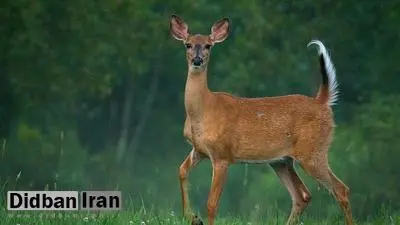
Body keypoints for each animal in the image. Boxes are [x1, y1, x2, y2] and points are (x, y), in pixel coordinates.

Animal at [169, 14, 354, 225]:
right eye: (188, 44)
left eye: (208, 45)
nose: (197, 60)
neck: (203, 110)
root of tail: (322, 101)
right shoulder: (198, 150)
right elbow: (181, 171)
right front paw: (192, 217)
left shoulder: (222, 155)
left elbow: (212, 203)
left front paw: (197, 217)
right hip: (282, 161)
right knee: (303, 195)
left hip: (313, 152)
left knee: (341, 189)